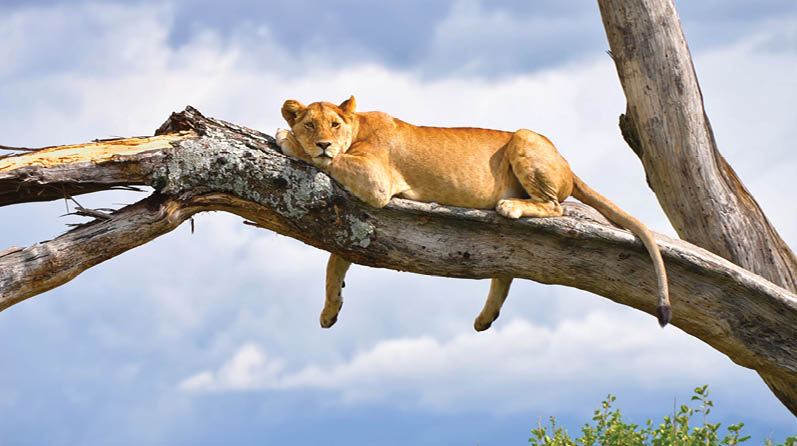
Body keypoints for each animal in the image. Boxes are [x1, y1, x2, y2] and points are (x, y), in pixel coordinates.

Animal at [276, 96, 670, 331]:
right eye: (310, 124)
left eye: (334, 125)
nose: (323, 142)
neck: (357, 127)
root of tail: (568, 166)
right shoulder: (353, 221)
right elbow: (334, 262)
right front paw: (330, 311)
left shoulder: (376, 181)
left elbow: (330, 161)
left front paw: (285, 137)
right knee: (509, 268)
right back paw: (485, 318)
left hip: (525, 137)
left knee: (555, 207)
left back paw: (510, 206)